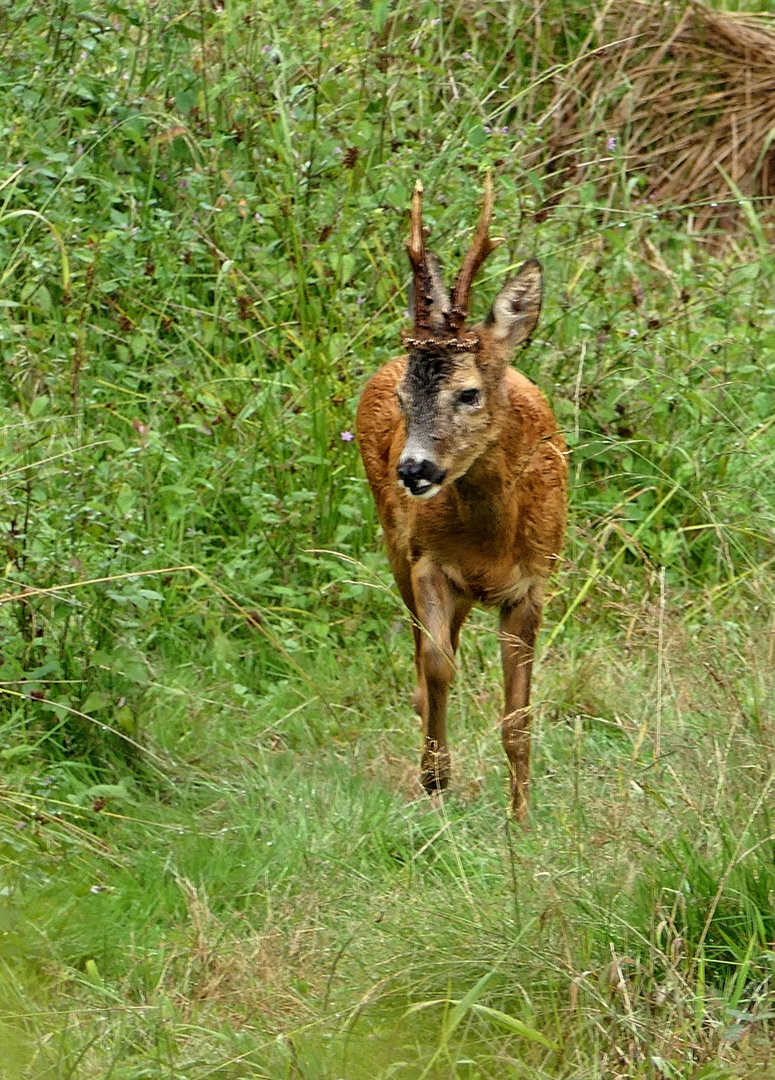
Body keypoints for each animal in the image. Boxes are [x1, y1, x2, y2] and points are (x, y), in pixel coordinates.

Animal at [356, 174, 565, 816]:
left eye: (468, 393)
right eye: (404, 398)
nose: (413, 470)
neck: (490, 544)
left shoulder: (532, 584)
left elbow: (519, 717)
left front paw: (521, 819)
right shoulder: (428, 559)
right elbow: (437, 665)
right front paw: (435, 780)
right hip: (394, 544)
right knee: (427, 655)